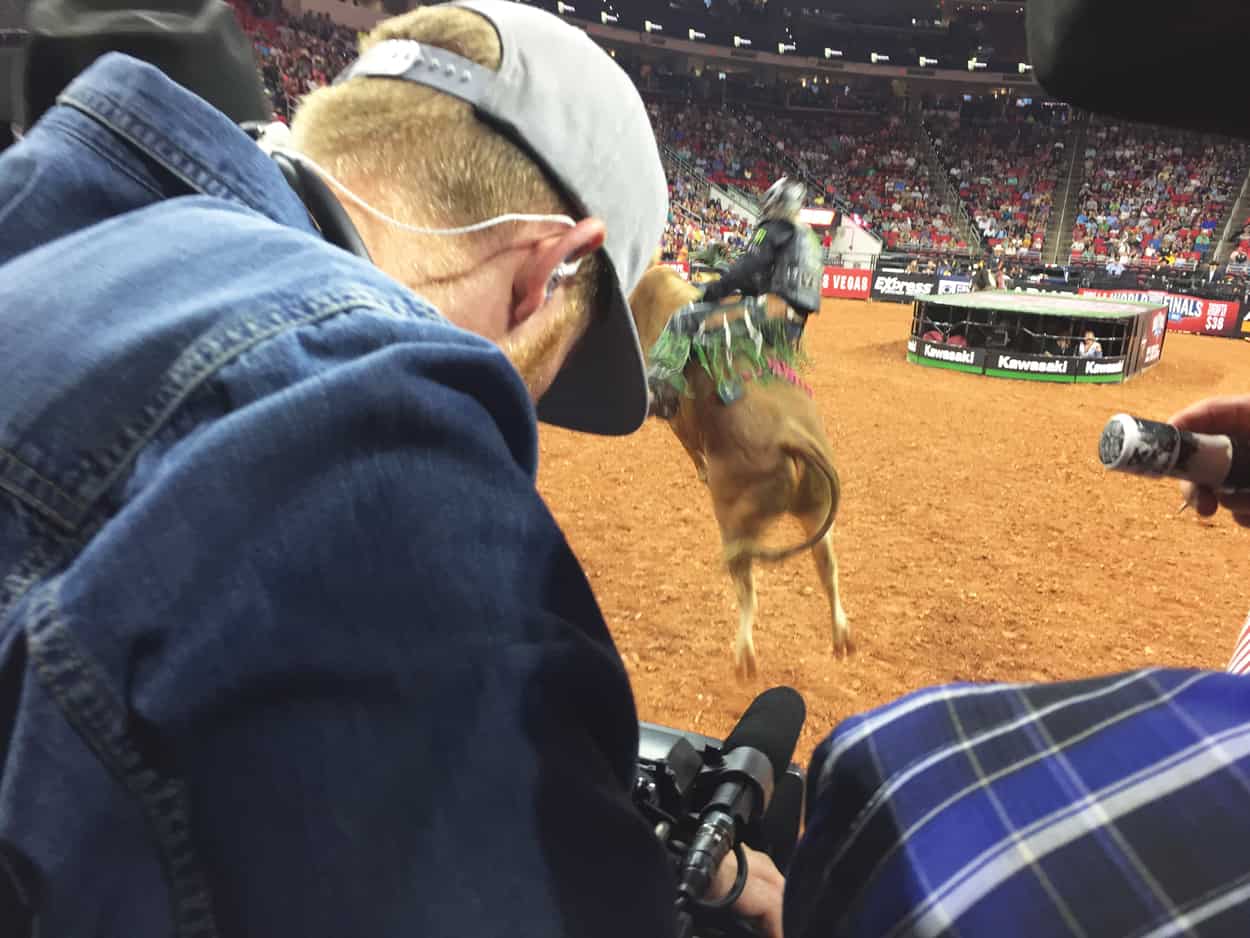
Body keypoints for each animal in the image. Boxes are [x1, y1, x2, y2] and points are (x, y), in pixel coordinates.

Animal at [629, 266, 850, 679]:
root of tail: (792, 436)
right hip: (814, 510)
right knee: (827, 567)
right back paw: (841, 635)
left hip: (736, 519)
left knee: (746, 585)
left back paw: (744, 654)